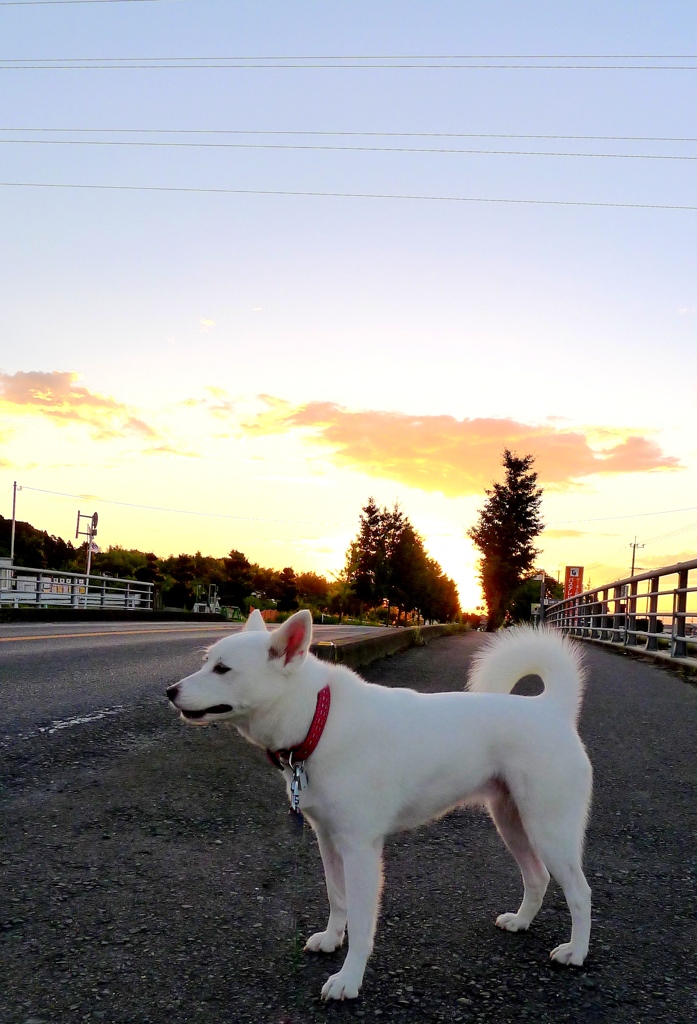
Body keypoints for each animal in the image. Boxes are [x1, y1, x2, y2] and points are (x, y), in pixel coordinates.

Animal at [165, 606, 589, 999]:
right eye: (206, 661)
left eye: (222, 669)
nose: (169, 692)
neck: (317, 719)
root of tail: (551, 709)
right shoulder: (328, 840)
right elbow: (337, 899)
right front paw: (331, 939)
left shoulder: (360, 849)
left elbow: (360, 921)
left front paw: (348, 979)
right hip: (512, 821)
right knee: (537, 877)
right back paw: (521, 921)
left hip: (548, 830)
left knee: (580, 892)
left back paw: (576, 952)